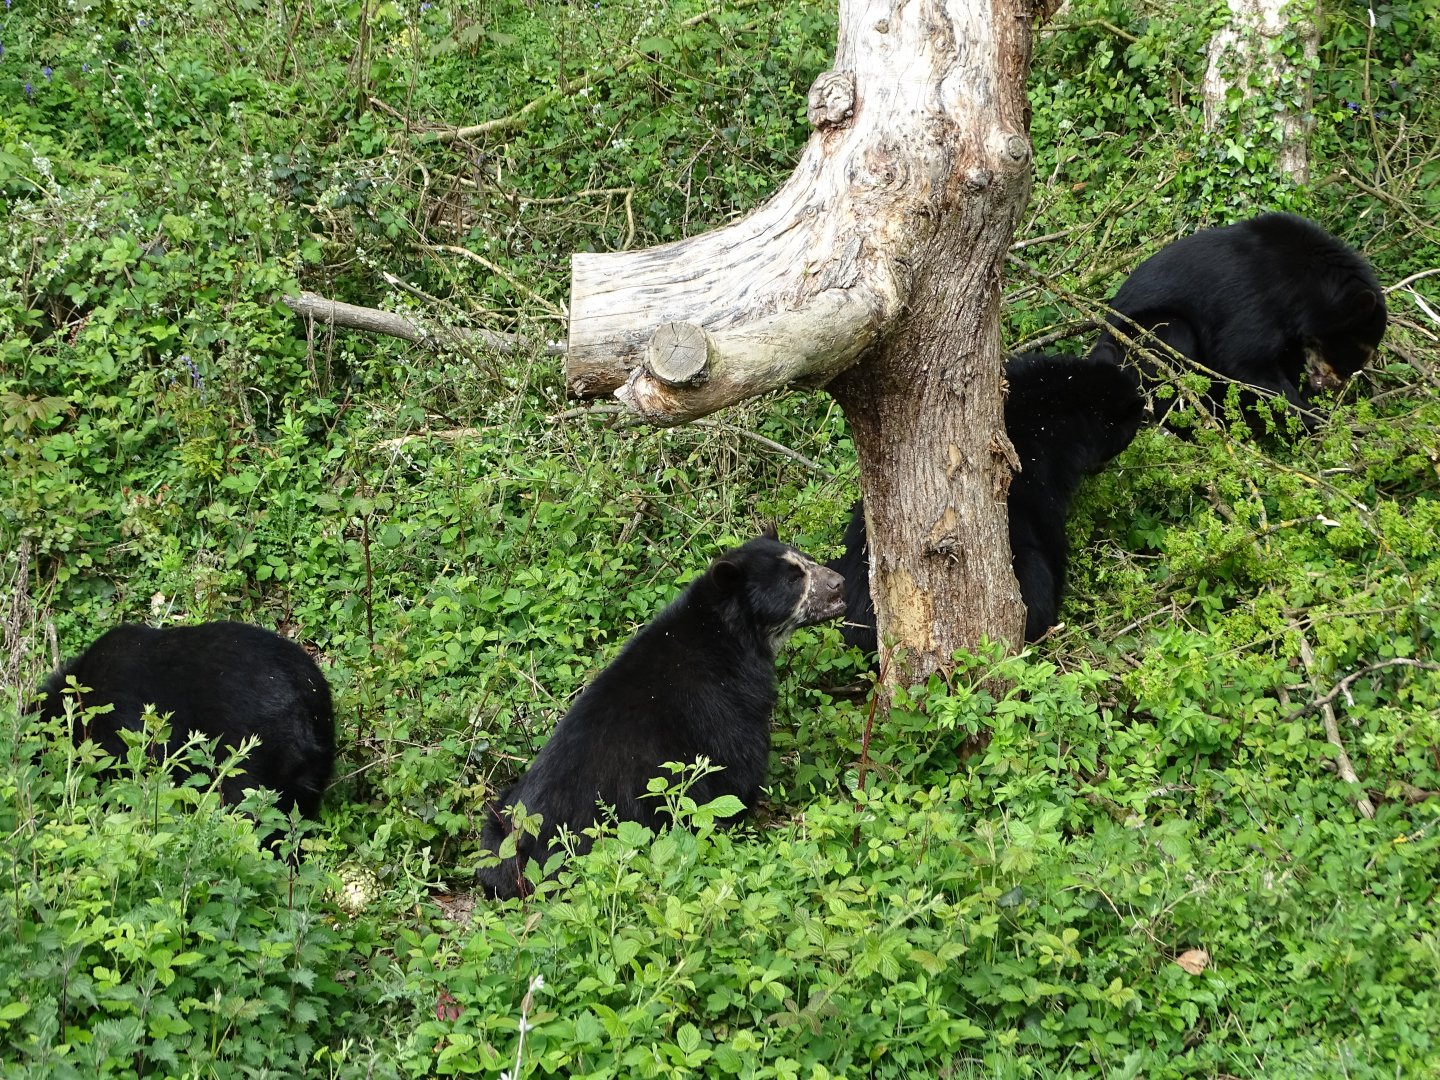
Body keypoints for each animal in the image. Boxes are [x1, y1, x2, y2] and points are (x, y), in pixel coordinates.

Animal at [476, 529, 846, 900]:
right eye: (793, 579)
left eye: (807, 560)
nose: (839, 583)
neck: (731, 632)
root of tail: (522, 845)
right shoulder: (722, 700)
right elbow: (737, 763)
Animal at [1088, 212, 1386, 431]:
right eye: (1348, 352)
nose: (1335, 385)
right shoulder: (1255, 298)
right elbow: (1243, 360)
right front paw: (1312, 416)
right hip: (1145, 337)